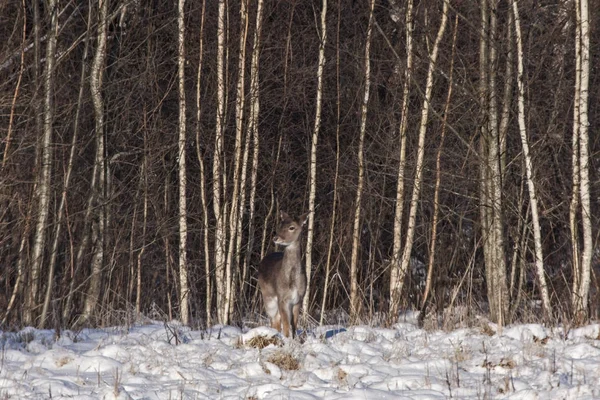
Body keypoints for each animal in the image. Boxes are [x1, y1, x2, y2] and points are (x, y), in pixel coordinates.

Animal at [256, 209, 310, 338]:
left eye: (292, 227)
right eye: (280, 225)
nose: (276, 238)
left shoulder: (299, 299)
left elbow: (294, 324)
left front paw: (295, 340)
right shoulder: (282, 298)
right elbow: (286, 325)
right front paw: (287, 340)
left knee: (276, 321)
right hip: (268, 297)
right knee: (274, 321)